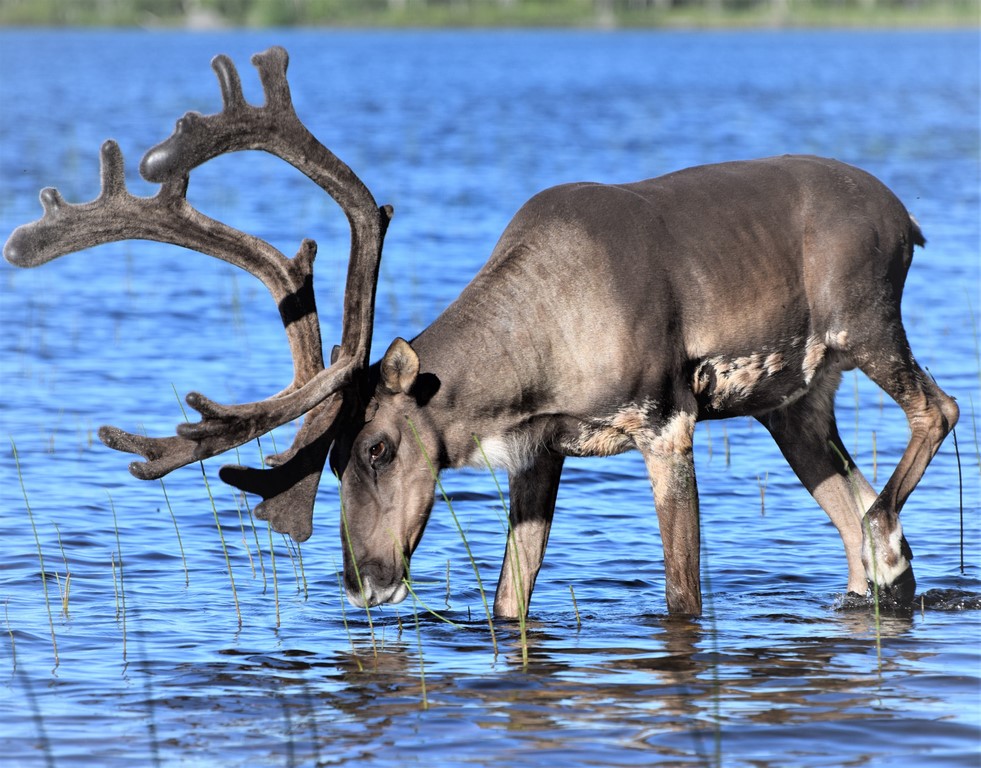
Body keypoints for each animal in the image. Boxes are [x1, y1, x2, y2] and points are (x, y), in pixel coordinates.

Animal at [5, 47, 959, 620]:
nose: (365, 580)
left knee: (934, 414)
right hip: (790, 400)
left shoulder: (666, 421)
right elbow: (509, 598)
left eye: (378, 447)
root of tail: (904, 217)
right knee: (847, 515)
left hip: (865, 322)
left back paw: (886, 530)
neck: (531, 361)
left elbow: (681, 595)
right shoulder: (540, 450)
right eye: (330, 461)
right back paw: (881, 561)